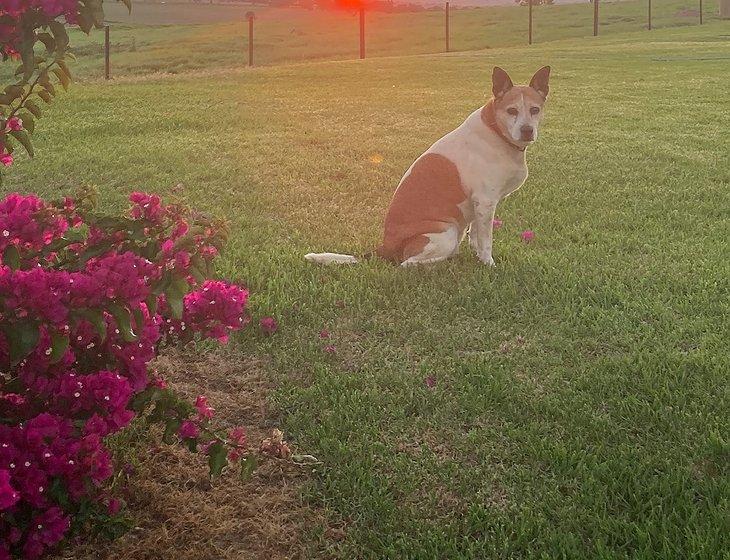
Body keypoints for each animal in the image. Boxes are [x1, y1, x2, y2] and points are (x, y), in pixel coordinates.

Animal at [304, 65, 548, 266]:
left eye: (535, 110)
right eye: (511, 111)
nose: (527, 130)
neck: (496, 130)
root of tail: (384, 247)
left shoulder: (480, 205)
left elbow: (476, 235)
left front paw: (477, 254)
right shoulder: (486, 201)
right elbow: (486, 241)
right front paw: (488, 264)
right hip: (446, 233)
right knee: (407, 263)